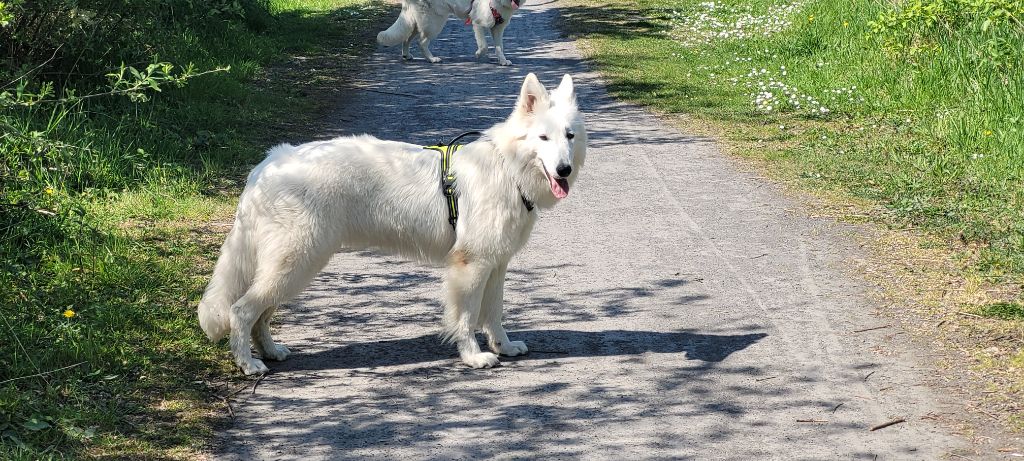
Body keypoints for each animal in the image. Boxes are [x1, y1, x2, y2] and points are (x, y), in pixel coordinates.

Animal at [196, 72, 589, 374]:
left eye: (569, 136)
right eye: (543, 138)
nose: (564, 170)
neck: (509, 167)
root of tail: (269, 163)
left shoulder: (495, 266)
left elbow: (493, 315)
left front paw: (503, 346)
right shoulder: (471, 267)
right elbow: (466, 317)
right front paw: (473, 356)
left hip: (291, 268)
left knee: (261, 315)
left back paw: (271, 352)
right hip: (296, 264)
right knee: (241, 311)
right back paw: (248, 364)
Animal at [374, 0, 524, 65]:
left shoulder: (498, 29)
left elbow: (499, 48)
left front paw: (502, 61)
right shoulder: (478, 23)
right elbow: (484, 46)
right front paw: (478, 54)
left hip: (417, 22)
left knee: (407, 38)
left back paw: (406, 55)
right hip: (435, 22)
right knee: (421, 42)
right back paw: (432, 59)